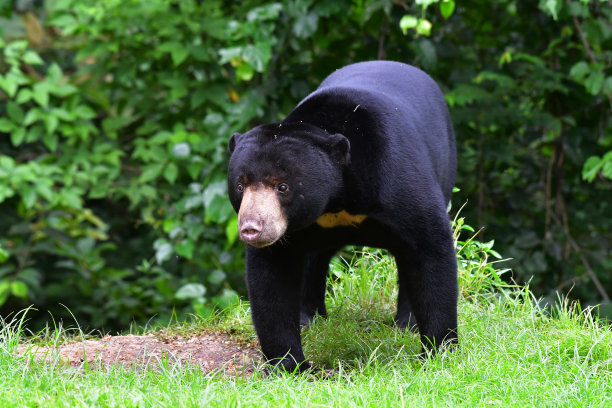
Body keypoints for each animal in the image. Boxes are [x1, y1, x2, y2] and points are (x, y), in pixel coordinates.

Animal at [227, 60, 456, 372]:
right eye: (241, 185)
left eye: (283, 186)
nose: (252, 228)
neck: (336, 198)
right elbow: (271, 275)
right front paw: (290, 364)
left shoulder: (393, 176)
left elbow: (429, 244)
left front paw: (438, 351)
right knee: (314, 259)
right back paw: (309, 317)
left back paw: (406, 323)